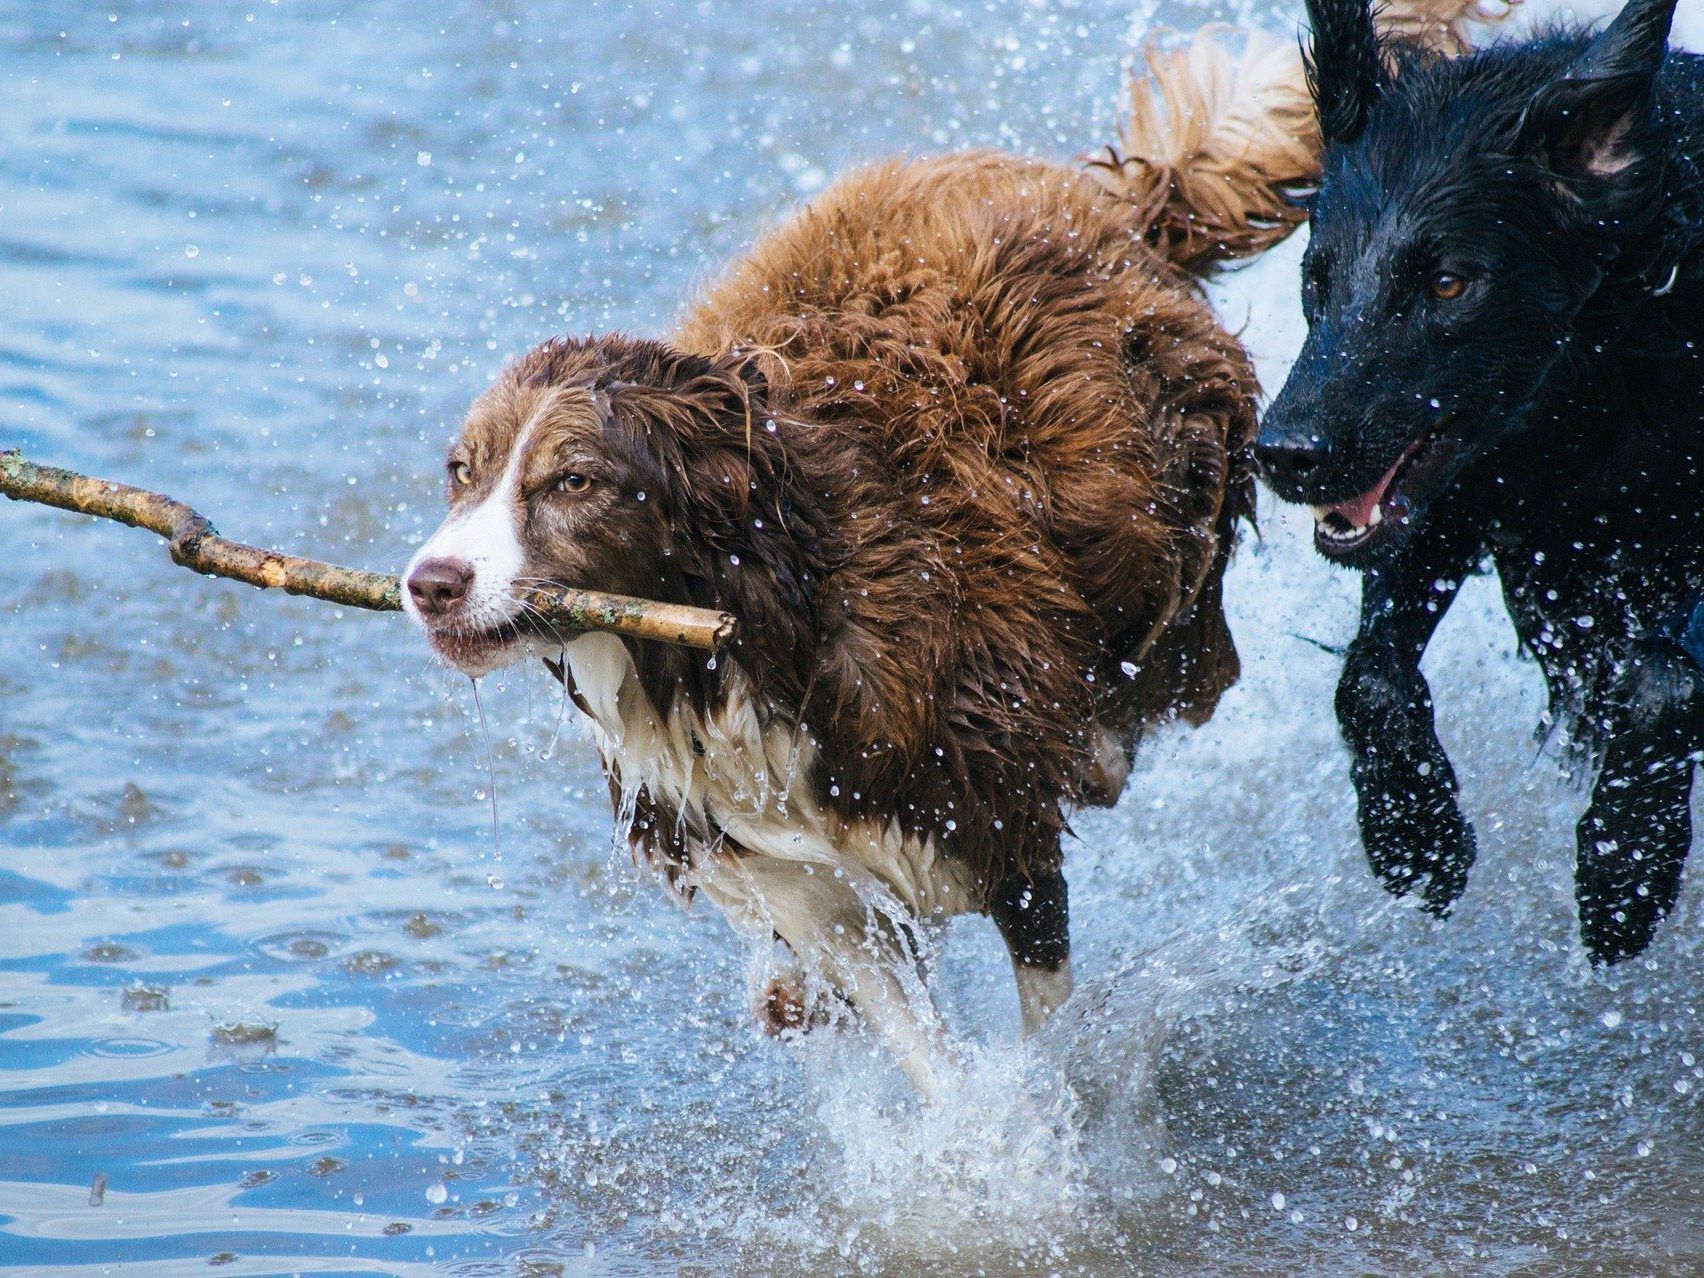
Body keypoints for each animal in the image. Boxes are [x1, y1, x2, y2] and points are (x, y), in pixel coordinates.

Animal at [398, 2, 1506, 1104]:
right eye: (461, 470)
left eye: (573, 482)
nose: (429, 584)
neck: (744, 627)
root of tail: (1116, 200)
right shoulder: (805, 877)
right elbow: (916, 1040)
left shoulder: (996, 818)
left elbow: (1044, 1016)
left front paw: (1048, 1121)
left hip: (1176, 506)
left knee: (1179, 649)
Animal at [1254, 0, 1704, 967]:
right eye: (1316, 276)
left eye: (1450, 282)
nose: (1284, 452)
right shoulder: (1452, 499)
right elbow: (1370, 678)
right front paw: (1414, 835)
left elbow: (1663, 679)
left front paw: (1624, 870)